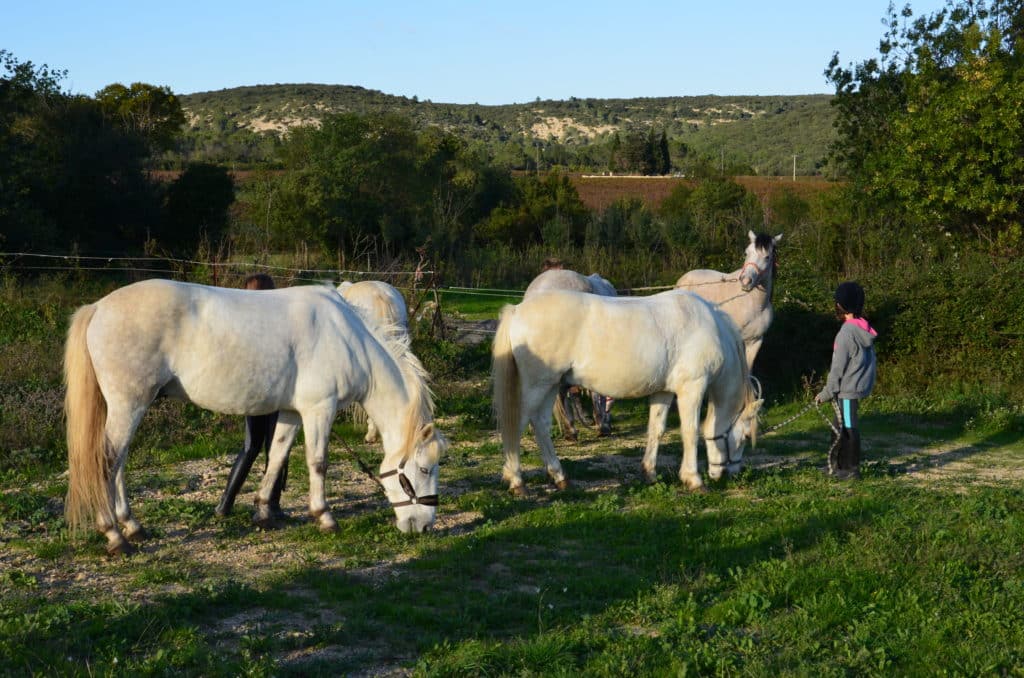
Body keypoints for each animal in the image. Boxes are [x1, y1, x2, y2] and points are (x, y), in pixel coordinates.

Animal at [492, 288, 762, 495]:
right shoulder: (691, 388)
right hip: (538, 385)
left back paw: (560, 478)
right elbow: (690, 432)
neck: (710, 327)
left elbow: (656, 429)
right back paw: (517, 481)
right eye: (746, 436)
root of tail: (517, 310)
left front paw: (649, 472)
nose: (729, 474)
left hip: (550, 385)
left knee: (540, 424)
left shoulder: (664, 391)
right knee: (518, 425)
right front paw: (693, 479)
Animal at [675, 230, 782, 370]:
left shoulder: (756, 341)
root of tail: (683, 278)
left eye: (767, 257)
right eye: (746, 253)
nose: (746, 281)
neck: (753, 305)